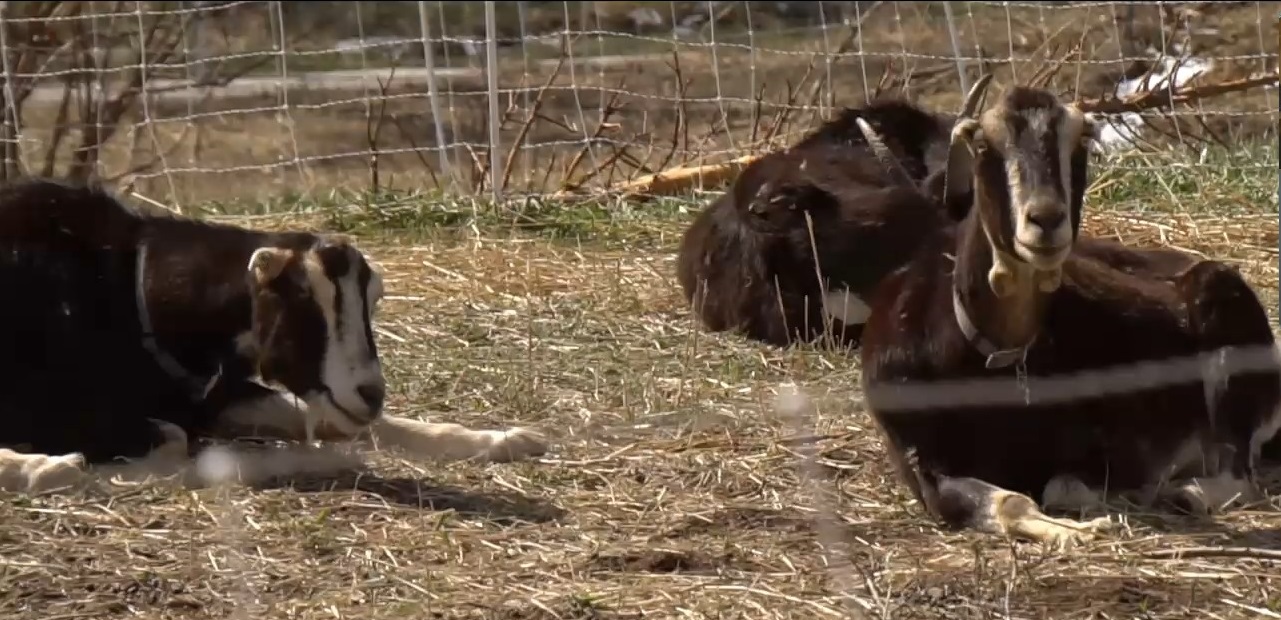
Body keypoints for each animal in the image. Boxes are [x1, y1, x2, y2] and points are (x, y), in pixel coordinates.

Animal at [0, 178, 548, 493]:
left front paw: (503, 439)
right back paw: (43, 468)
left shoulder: (209, 395)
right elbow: (175, 441)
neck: (123, 284)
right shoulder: (44, 404)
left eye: (373, 302)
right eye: (304, 300)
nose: (371, 393)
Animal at [856, 83, 1281, 549]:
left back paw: (1184, 494)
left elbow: (1064, 486)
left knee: (1240, 472)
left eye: (1080, 141)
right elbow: (1007, 501)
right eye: (983, 143)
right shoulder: (921, 465)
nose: (1046, 220)